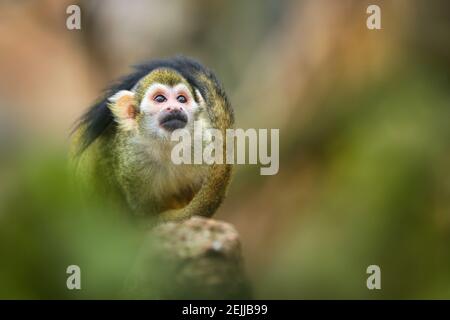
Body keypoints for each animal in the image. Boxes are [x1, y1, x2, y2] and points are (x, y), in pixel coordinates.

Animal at [72, 57, 234, 222]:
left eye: (181, 99)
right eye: (160, 99)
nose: (175, 108)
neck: (167, 146)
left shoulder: (201, 144)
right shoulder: (132, 162)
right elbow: (144, 211)